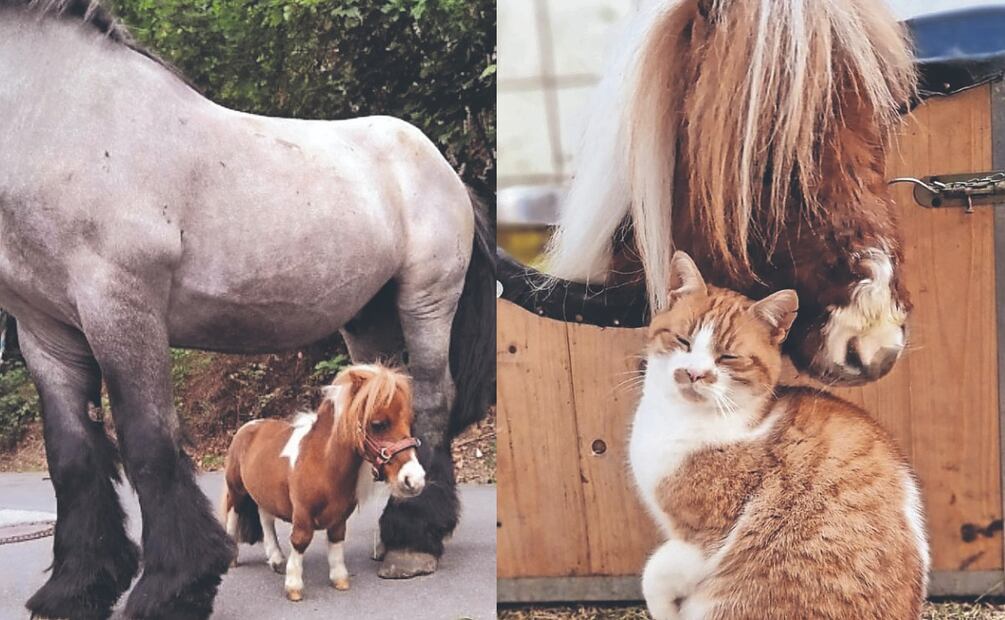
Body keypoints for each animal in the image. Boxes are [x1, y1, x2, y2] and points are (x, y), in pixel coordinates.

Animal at [222, 364, 424, 602]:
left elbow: (336, 541)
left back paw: (277, 559)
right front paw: (294, 586)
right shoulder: (302, 514)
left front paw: (339, 579)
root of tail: (248, 426)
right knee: (233, 515)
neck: (322, 463)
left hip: (263, 493)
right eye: (378, 424)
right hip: (237, 489)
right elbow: (300, 540)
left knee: (266, 520)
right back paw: (232, 558)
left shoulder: (339, 517)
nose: (415, 480)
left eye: (410, 422)